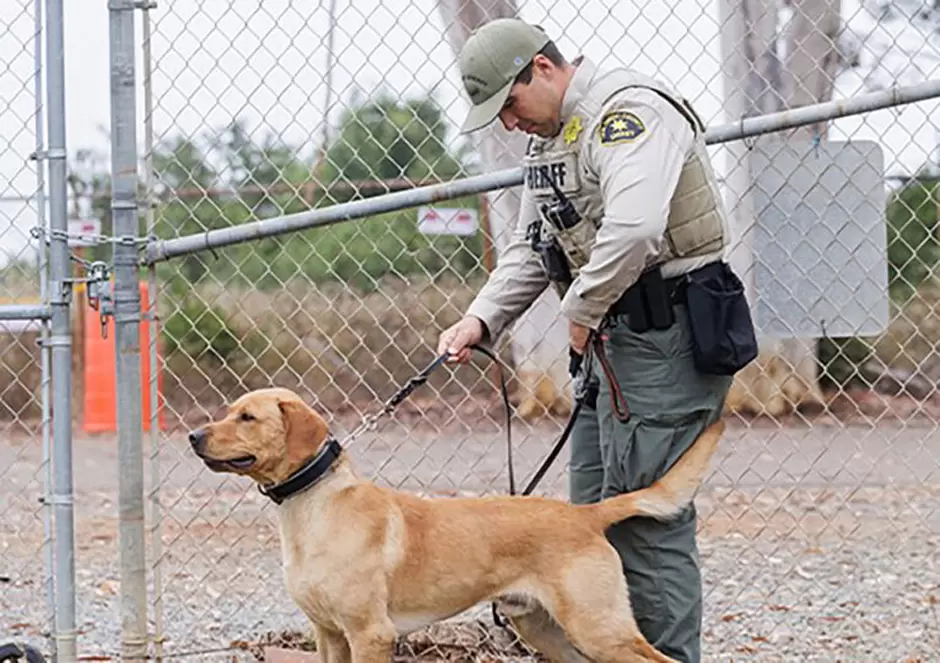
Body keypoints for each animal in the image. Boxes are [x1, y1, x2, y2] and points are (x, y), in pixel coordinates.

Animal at [187, 386, 724, 660]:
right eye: (228, 411)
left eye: (247, 417)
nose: (193, 436)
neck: (313, 508)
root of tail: (585, 514)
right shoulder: (328, 634)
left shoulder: (370, 633)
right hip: (545, 629)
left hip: (599, 626)